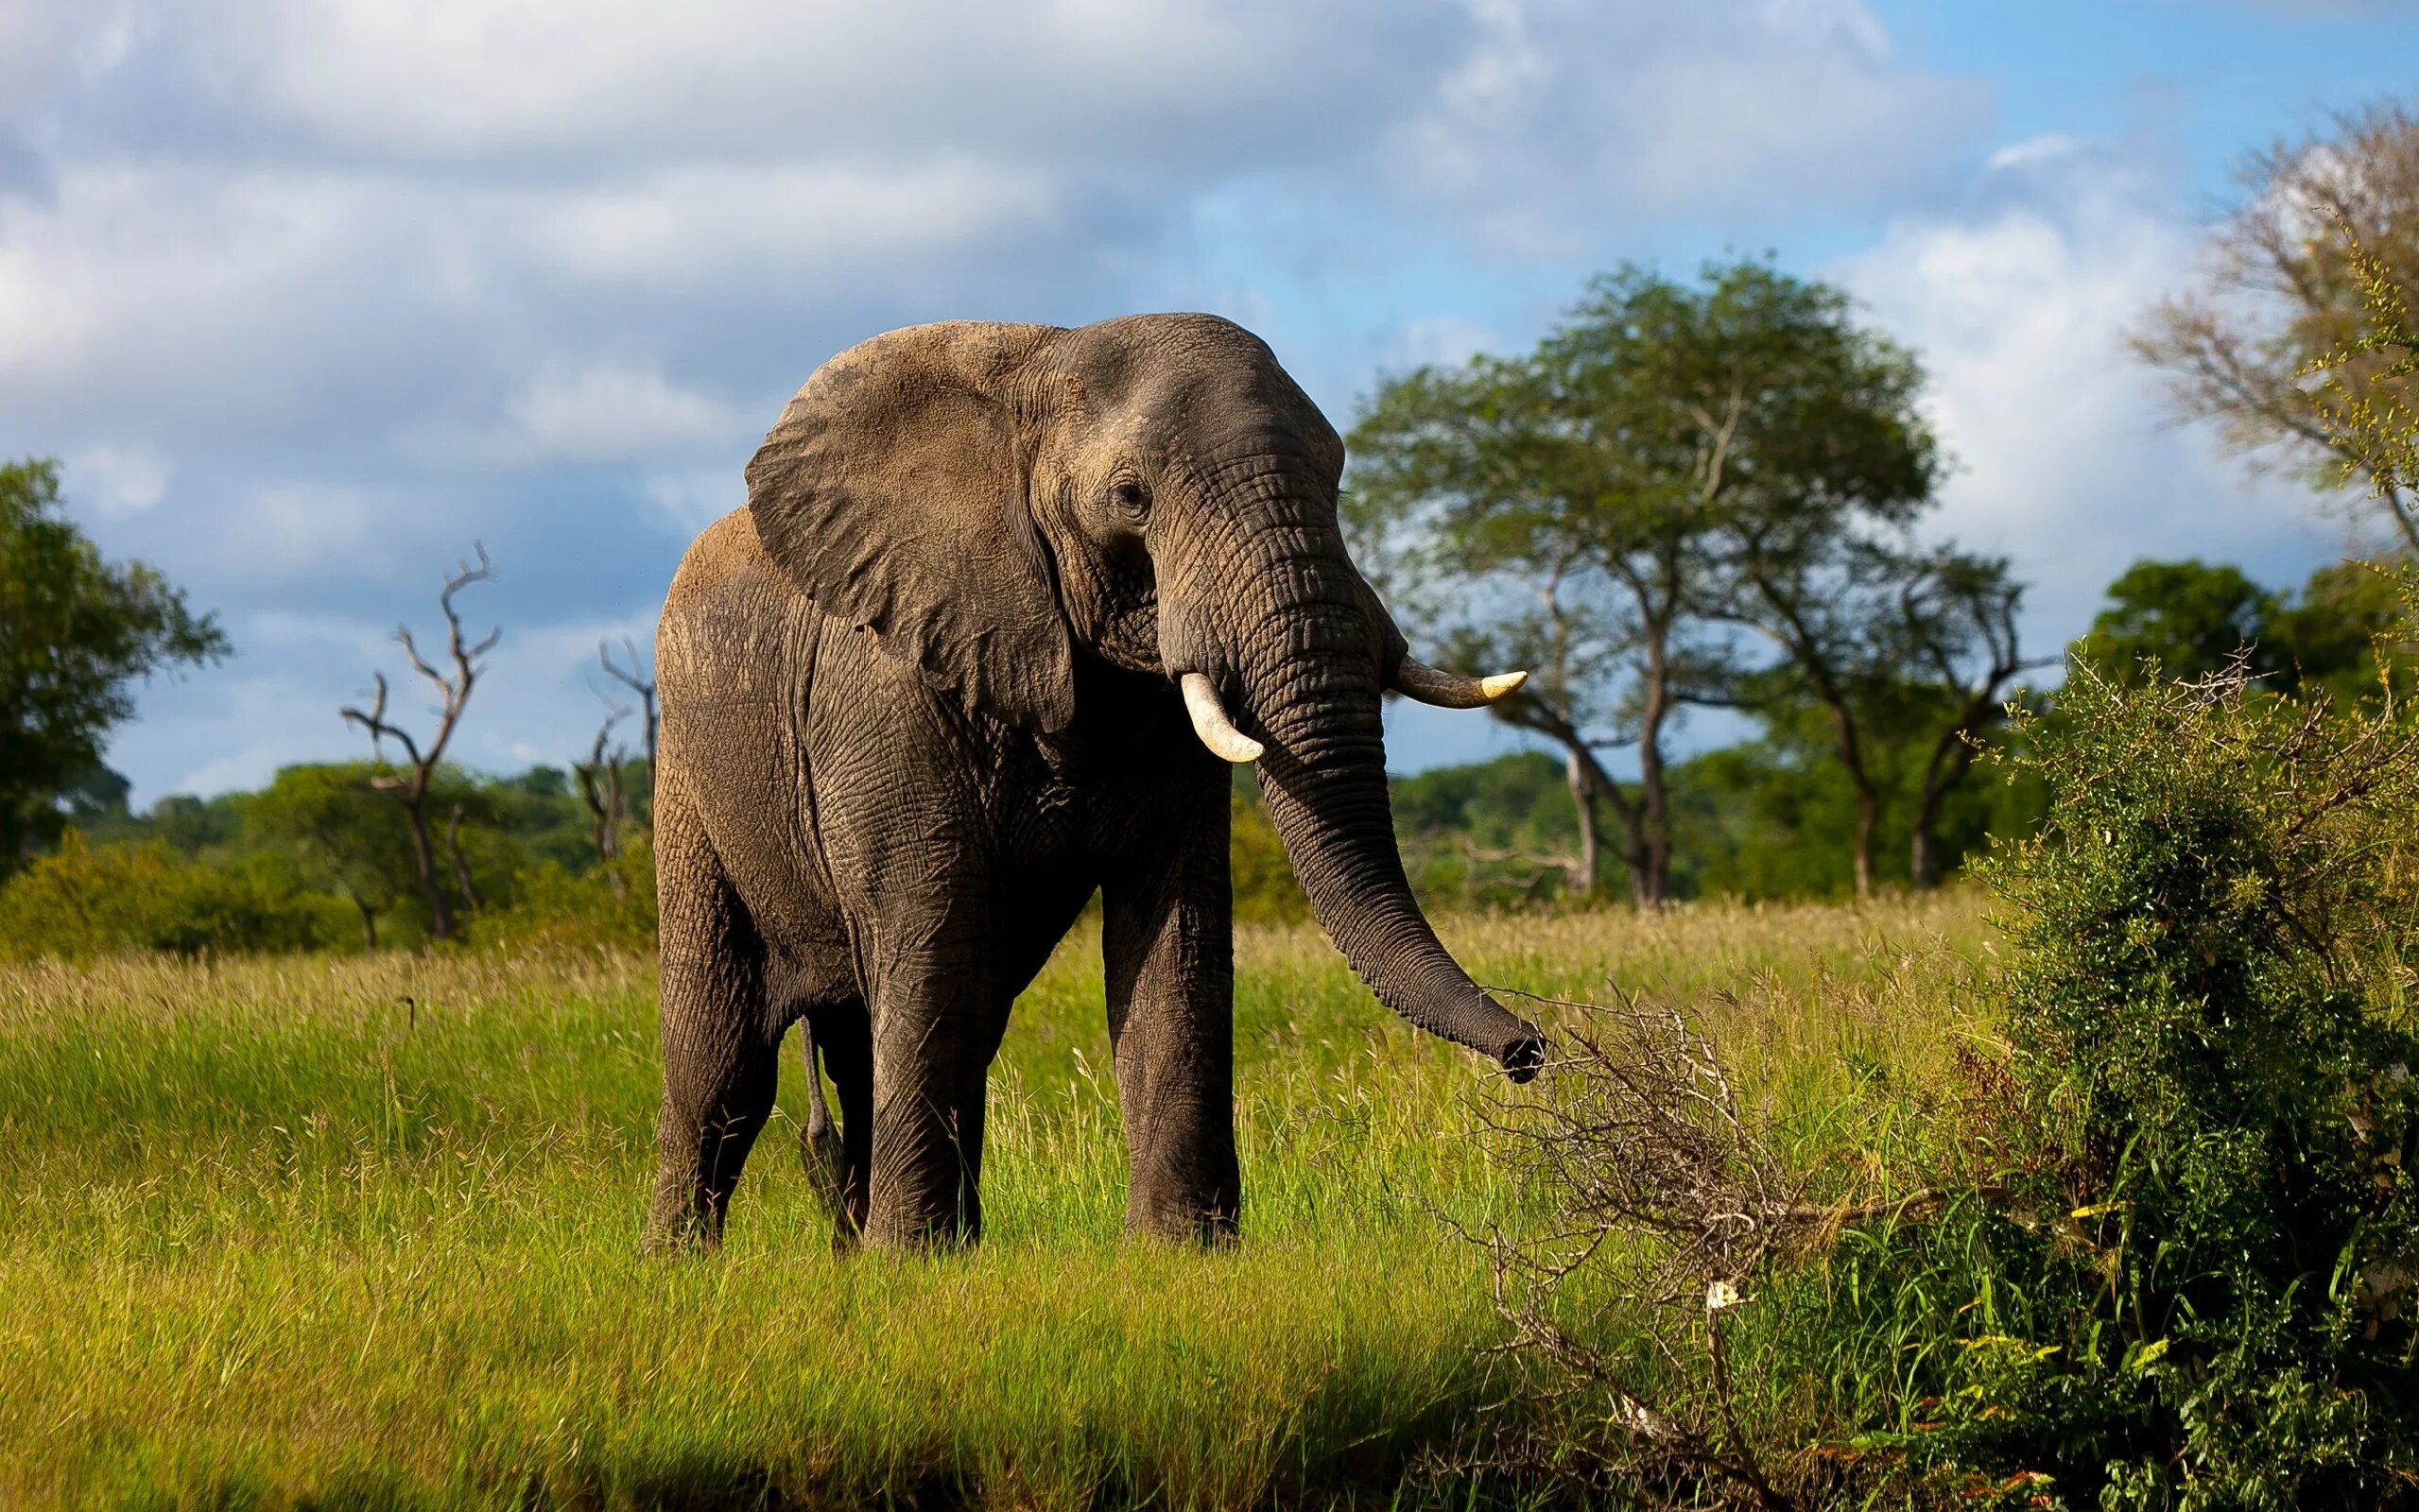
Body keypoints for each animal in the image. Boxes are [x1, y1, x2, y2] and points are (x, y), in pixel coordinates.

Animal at [648, 309, 1547, 1247]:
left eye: (1335, 479)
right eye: (1130, 498)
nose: (1529, 1052)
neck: (1041, 360)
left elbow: (1177, 935)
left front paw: (1180, 1251)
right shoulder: (887, 685)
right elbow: (933, 930)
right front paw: (915, 1261)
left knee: (893, 1035)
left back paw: (870, 1250)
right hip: (687, 780)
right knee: (725, 1064)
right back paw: (684, 1263)